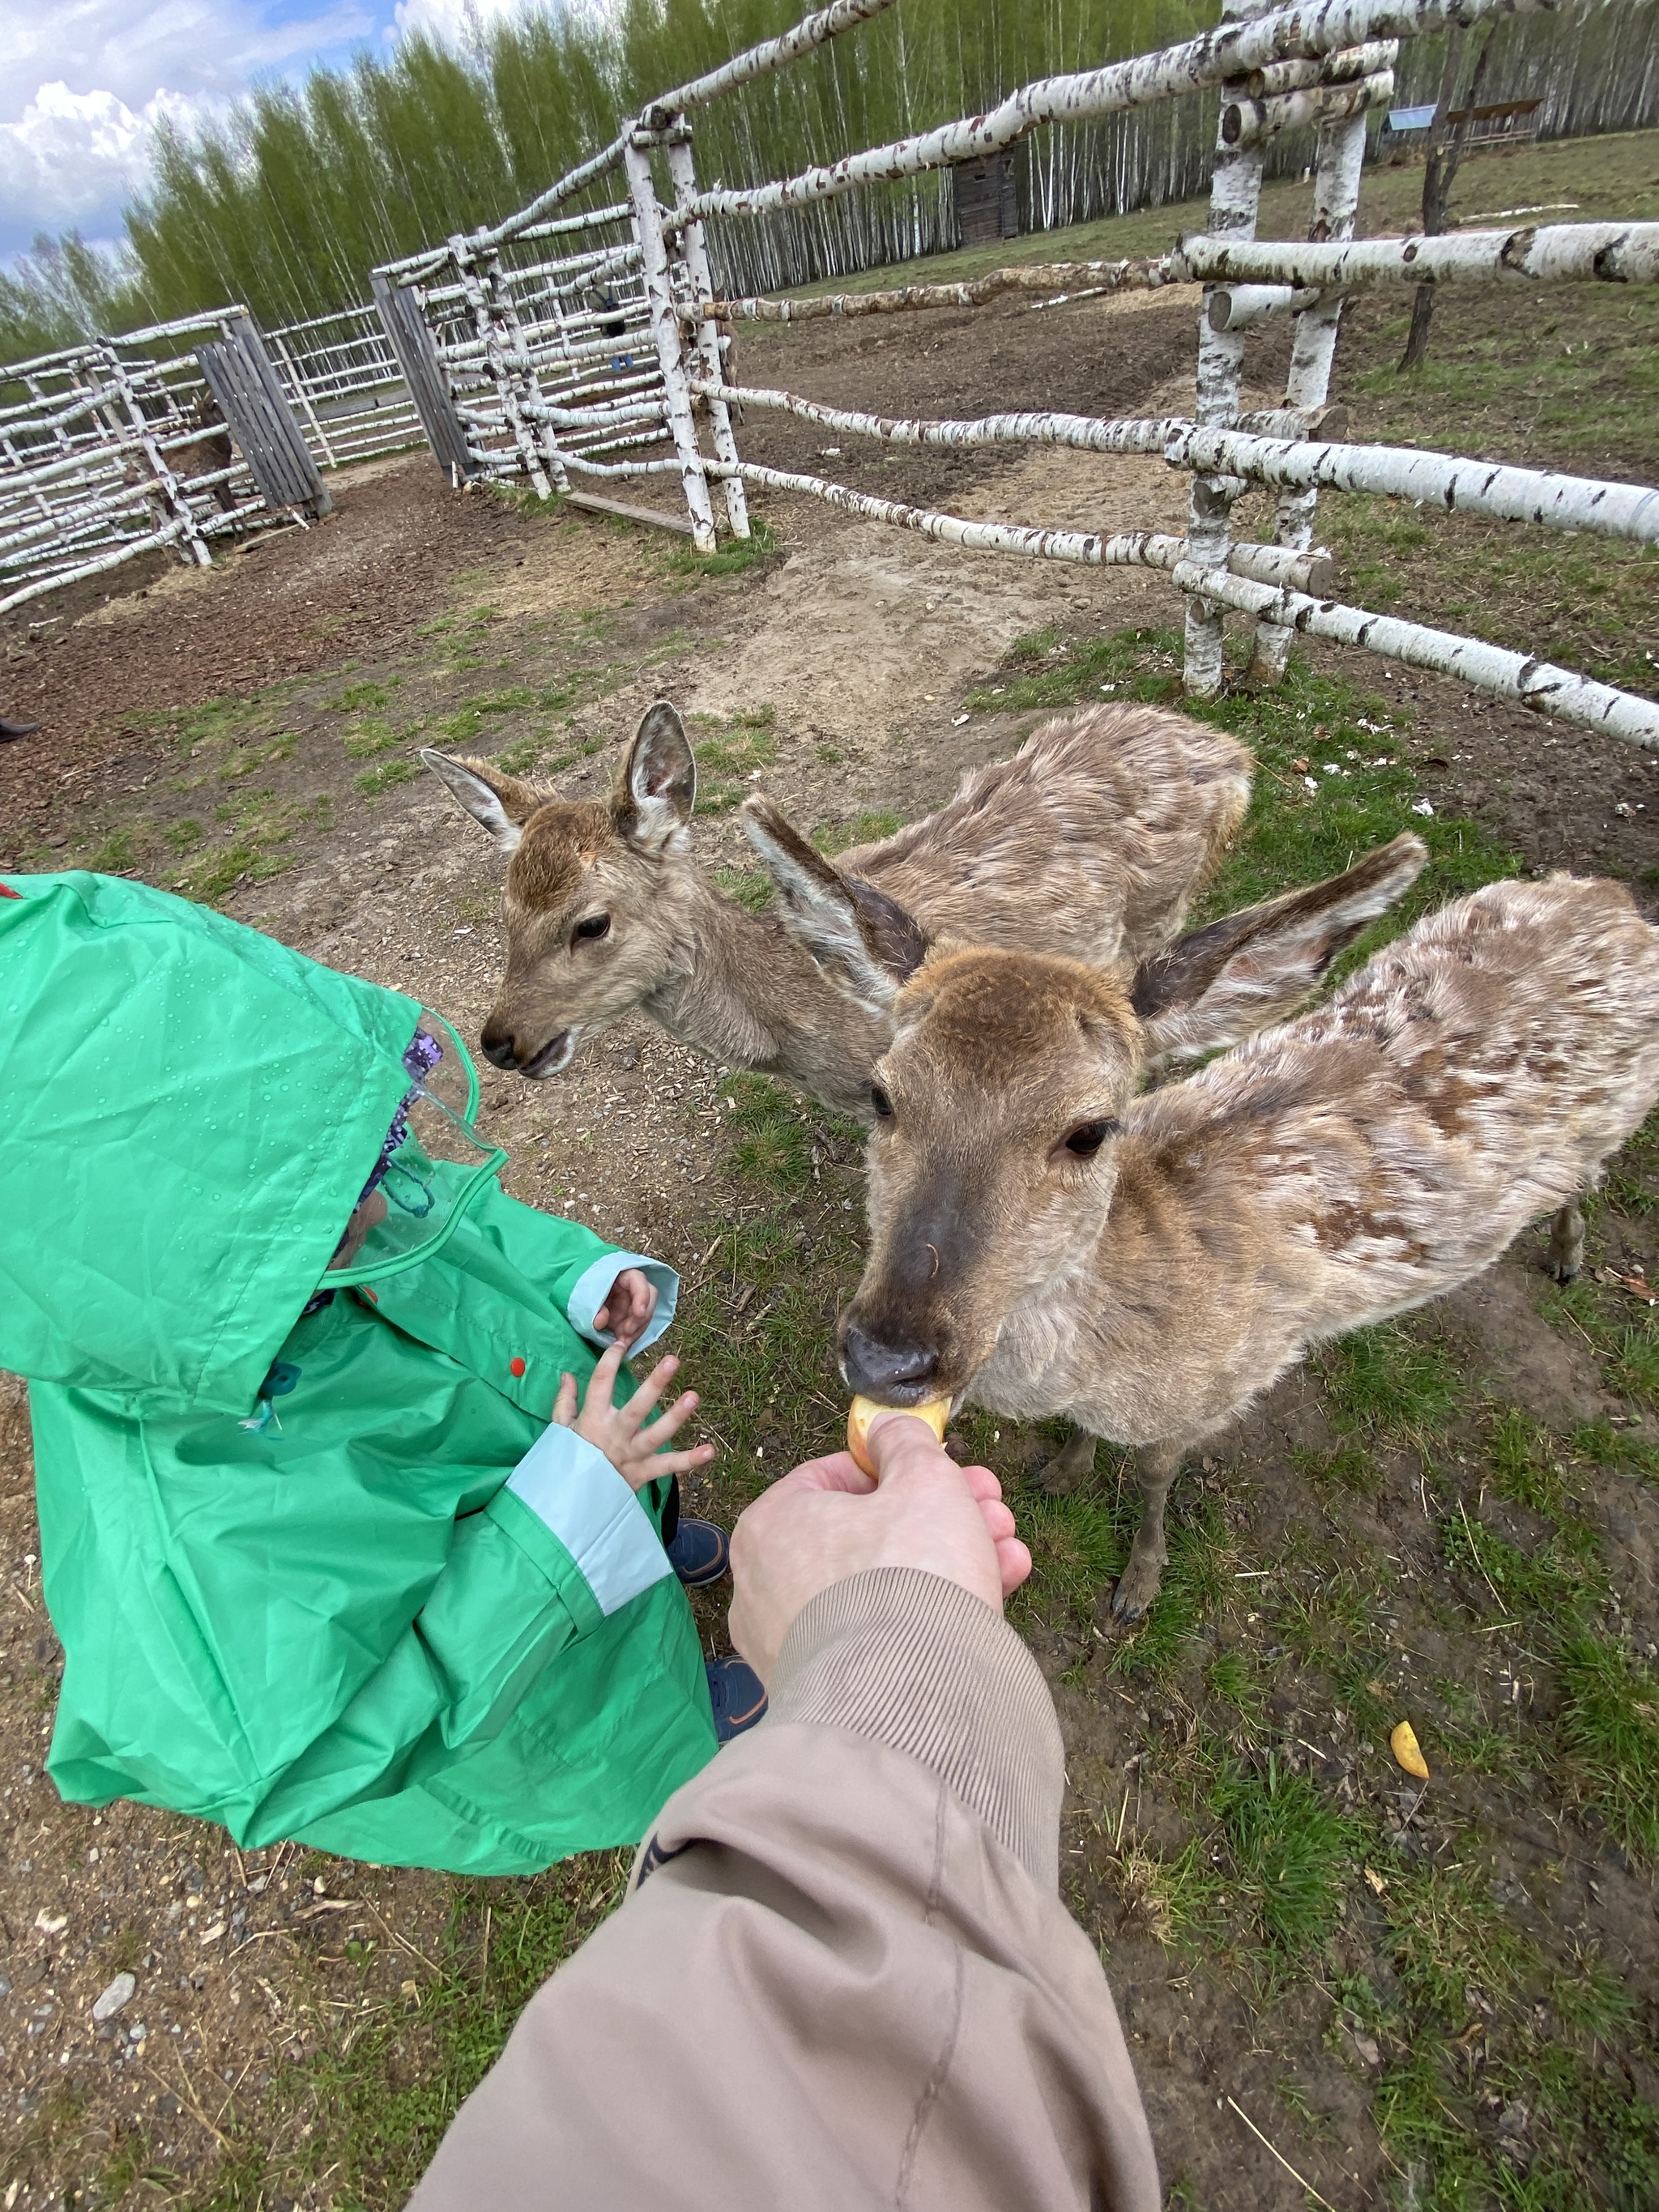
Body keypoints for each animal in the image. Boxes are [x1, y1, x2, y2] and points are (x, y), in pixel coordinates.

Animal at [813, 867, 1654, 1628]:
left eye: (1089, 1130)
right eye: (881, 1094)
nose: (890, 1355)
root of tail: (1611, 897)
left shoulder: (1226, 1381)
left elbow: (1156, 1472)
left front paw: (1137, 1585)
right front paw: (1064, 1471)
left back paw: (1569, 1254)